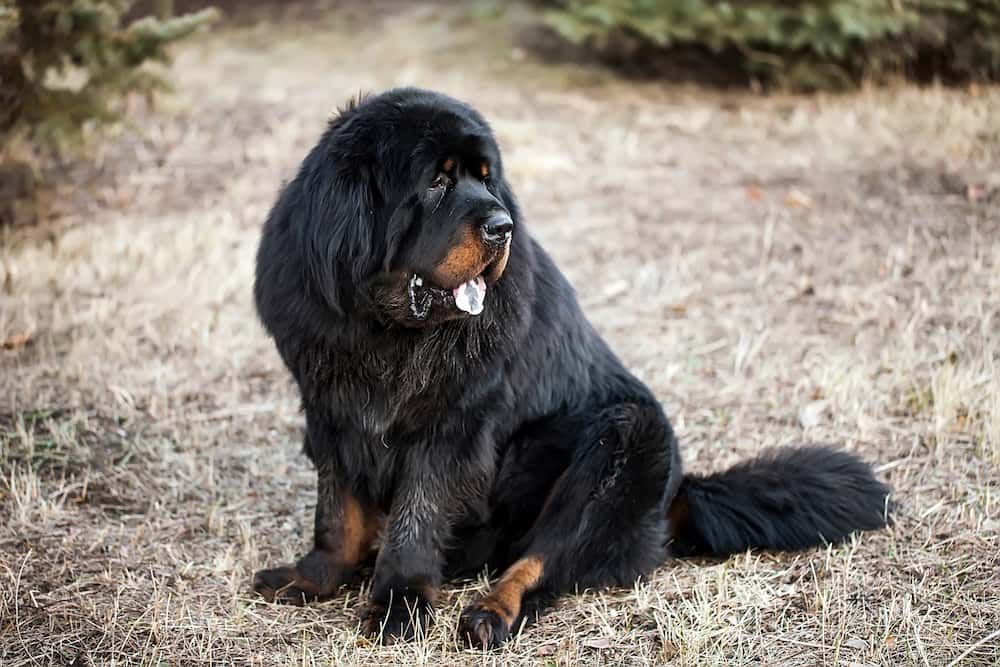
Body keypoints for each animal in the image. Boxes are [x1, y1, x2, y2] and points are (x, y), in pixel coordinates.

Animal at [252, 87, 892, 648]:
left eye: (486, 177)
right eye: (436, 181)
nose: (502, 226)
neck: (384, 332)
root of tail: (679, 491)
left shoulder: (451, 432)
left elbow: (417, 518)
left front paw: (397, 604)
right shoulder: (329, 409)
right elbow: (337, 513)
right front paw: (314, 576)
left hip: (628, 438)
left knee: (544, 558)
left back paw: (489, 612)